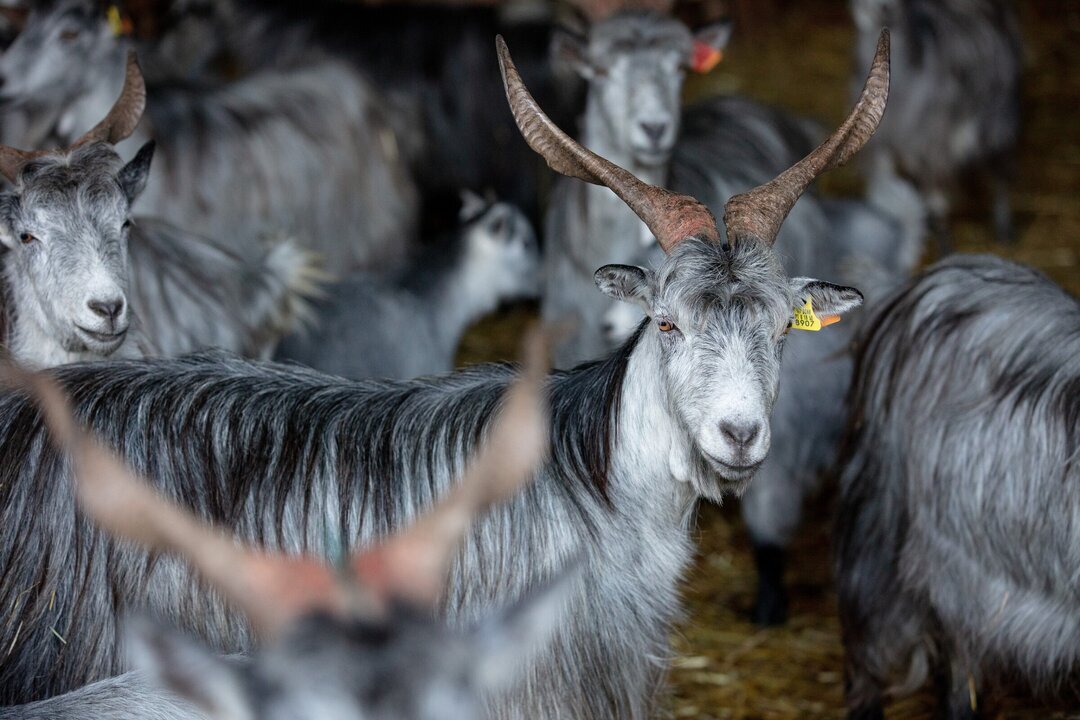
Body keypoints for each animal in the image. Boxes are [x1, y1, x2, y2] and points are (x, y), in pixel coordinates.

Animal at [851, 0, 1023, 251]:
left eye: (892, 6)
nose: (870, 11)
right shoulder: (883, 143)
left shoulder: (934, 148)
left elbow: (937, 201)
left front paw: (946, 247)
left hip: (999, 120)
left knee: (1001, 170)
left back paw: (1004, 228)